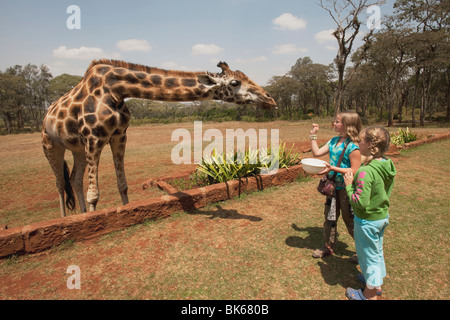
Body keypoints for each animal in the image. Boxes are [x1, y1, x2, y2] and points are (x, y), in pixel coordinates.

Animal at [42, 59, 276, 218]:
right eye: (235, 83)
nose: (270, 99)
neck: (117, 90)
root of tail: (46, 115)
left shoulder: (120, 136)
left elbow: (122, 185)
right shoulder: (94, 138)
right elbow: (94, 194)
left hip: (77, 148)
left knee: (74, 179)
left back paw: (81, 213)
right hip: (51, 145)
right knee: (60, 183)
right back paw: (65, 218)